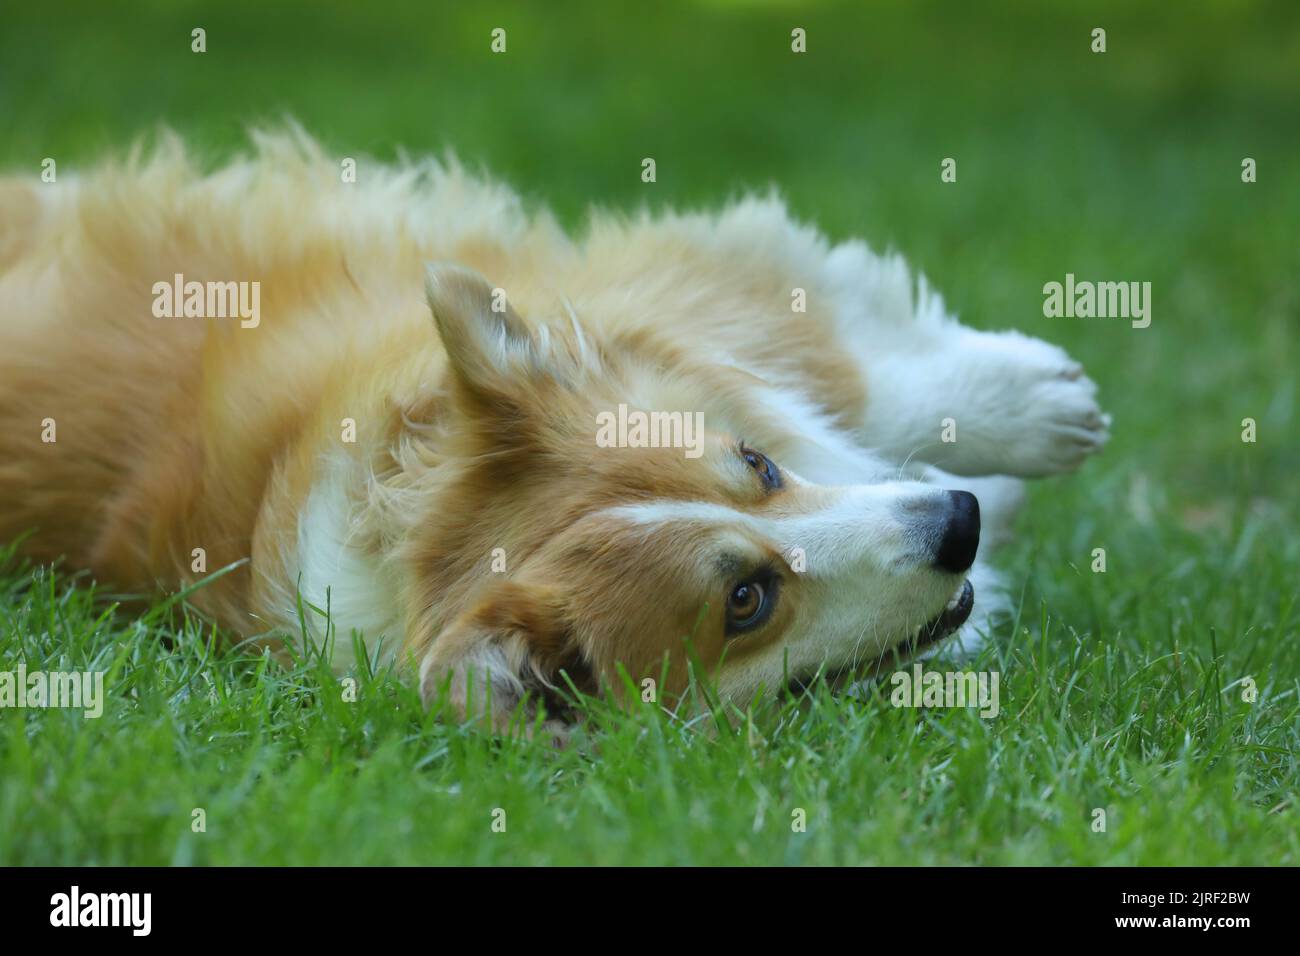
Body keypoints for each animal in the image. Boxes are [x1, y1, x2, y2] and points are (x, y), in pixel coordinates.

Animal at [0, 130, 1112, 738]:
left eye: (757, 465)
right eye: (746, 602)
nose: (958, 524)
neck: (416, 552)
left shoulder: (651, 306)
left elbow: (849, 374)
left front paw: (1037, 406)